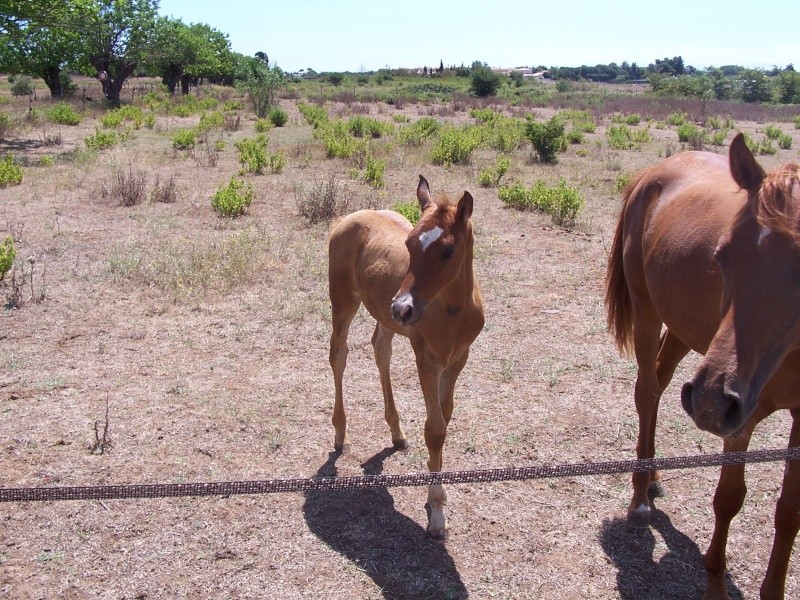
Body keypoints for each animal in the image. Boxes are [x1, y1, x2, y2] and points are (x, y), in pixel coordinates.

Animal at [328, 173, 484, 540]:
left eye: (448, 251)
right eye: (409, 245)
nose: (402, 307)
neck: (454, 310)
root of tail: (347, 218)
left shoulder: (459, 358)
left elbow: (445, 416)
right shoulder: (426, 358)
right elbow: (435, 428)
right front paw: (437, 513)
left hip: (383, 317)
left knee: (380, 348)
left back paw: (396, 433)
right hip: (344, 301)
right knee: (338, 354)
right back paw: (341, 433)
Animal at [608, 134, 800, 596]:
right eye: (723, 255)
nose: (713, 399)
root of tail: (652, 172)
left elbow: (789, 511)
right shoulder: (742, 419)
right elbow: (729, 499)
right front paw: (714, 583)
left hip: (683, 330)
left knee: (660, 383)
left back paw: (653, 476)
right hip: (647, 313)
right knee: (646, 390)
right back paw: (640, 496)